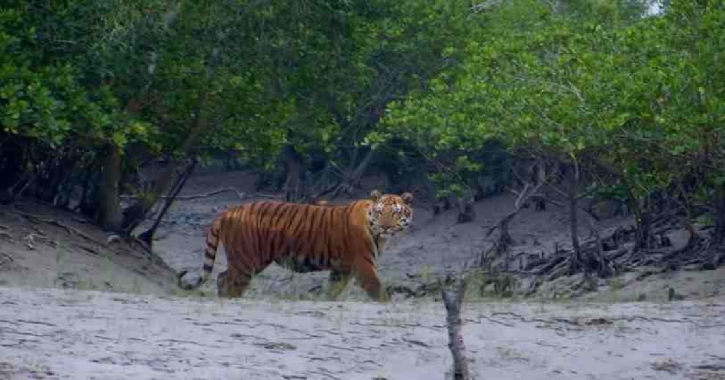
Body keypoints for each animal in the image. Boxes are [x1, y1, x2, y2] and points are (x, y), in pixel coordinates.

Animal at [176, 190, 412, 302]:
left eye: (395, 213)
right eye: (380, 212)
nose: (385, 226)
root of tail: (227, 211)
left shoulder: (341, 269)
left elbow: (332, 291)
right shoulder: (363, 265)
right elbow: (379, 291)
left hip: (251, 260)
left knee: (221, 276)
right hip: (246, 260)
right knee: (230, 282)